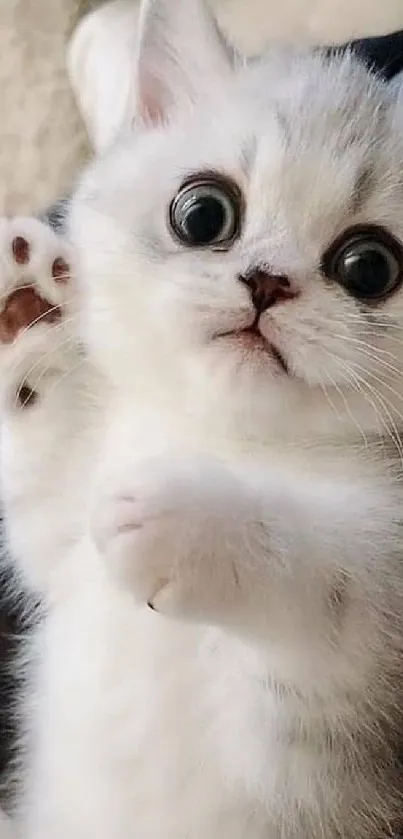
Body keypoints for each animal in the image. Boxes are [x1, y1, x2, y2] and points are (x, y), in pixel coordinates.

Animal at [3, 1, 403, 839]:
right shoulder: (58, 547)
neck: (231, 438)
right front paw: (28, 310)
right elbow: (48, 484)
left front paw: (173, 519)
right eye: (202, 213)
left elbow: (326, 570)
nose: (266, 282)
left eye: (369, 266)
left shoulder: (362, 678)